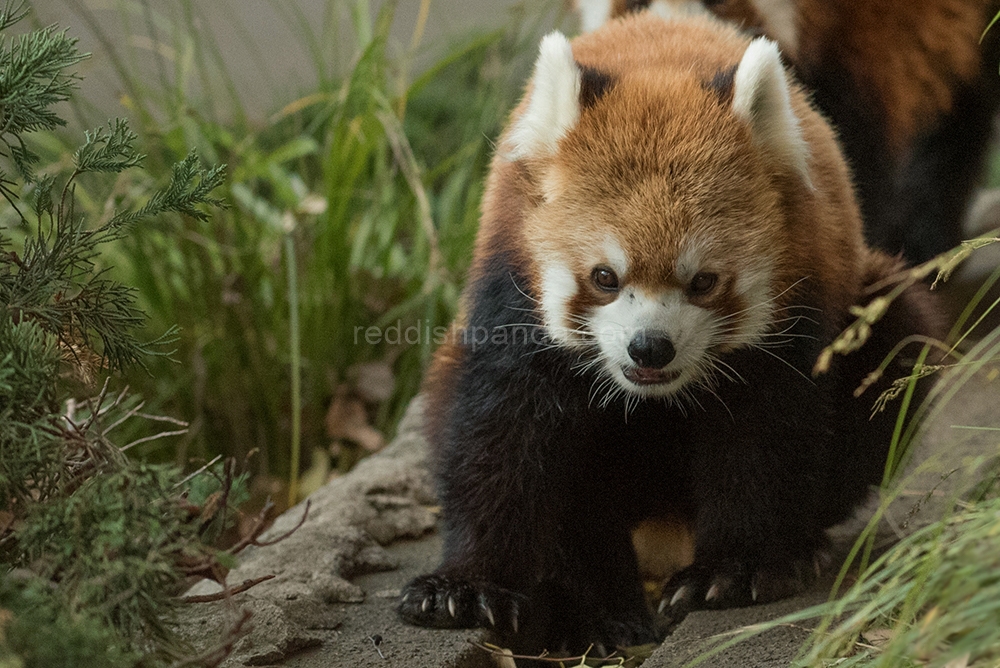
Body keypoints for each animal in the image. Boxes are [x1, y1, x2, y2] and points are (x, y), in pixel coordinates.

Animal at [396, 11, 936, 656]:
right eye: (604, 278)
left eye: (702, 281)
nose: (650, 346)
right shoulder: (512, 298)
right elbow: (501, 437)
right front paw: (468, 586)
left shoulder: (794, 312)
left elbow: (765, 438)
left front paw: (736, 568)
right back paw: (596, 606)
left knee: (897, 341)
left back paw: (799, 545)